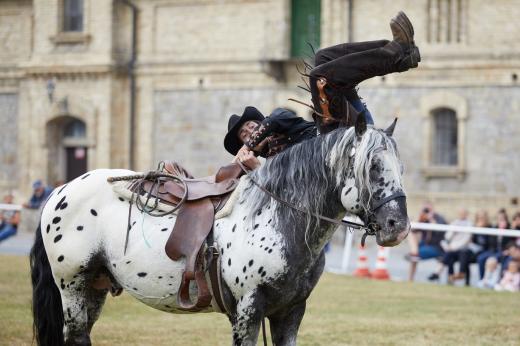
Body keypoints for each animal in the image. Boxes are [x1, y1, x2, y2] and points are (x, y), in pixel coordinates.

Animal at [30, 117, 410, 346]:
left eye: (400, 167)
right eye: (372, 166)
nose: (399, 227)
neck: (276, 216)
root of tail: (60, 191)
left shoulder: (291, 311)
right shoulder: (248, 310)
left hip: (93, 288)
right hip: (72, 288)